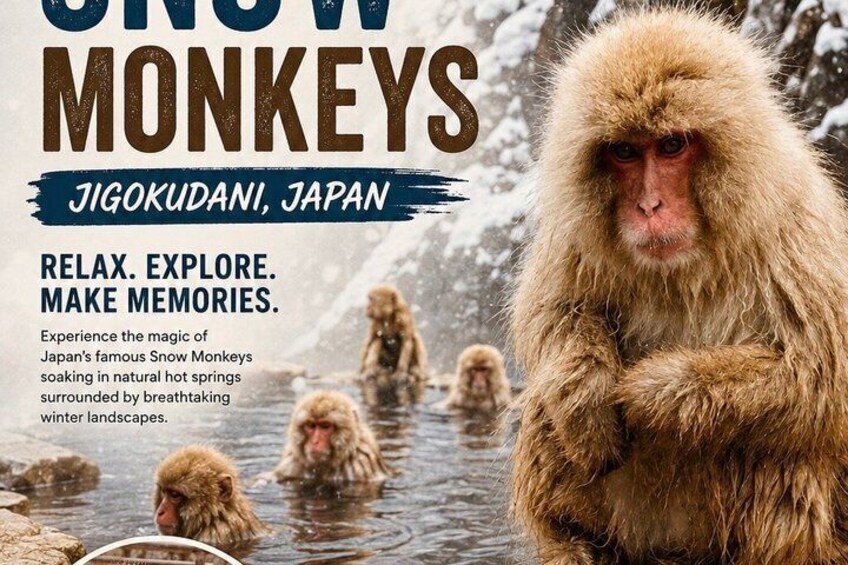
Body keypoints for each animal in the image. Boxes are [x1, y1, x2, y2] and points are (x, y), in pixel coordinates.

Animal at [511, 8, 848, 564]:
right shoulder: (574, 236)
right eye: (624, 152)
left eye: (672, 145)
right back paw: (576, 542)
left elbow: (820, 373)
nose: (649, 206)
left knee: (788, 445)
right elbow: (558, 312)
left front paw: (650, 389)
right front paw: (590, 396)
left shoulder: (796, 227)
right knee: (546, 404)